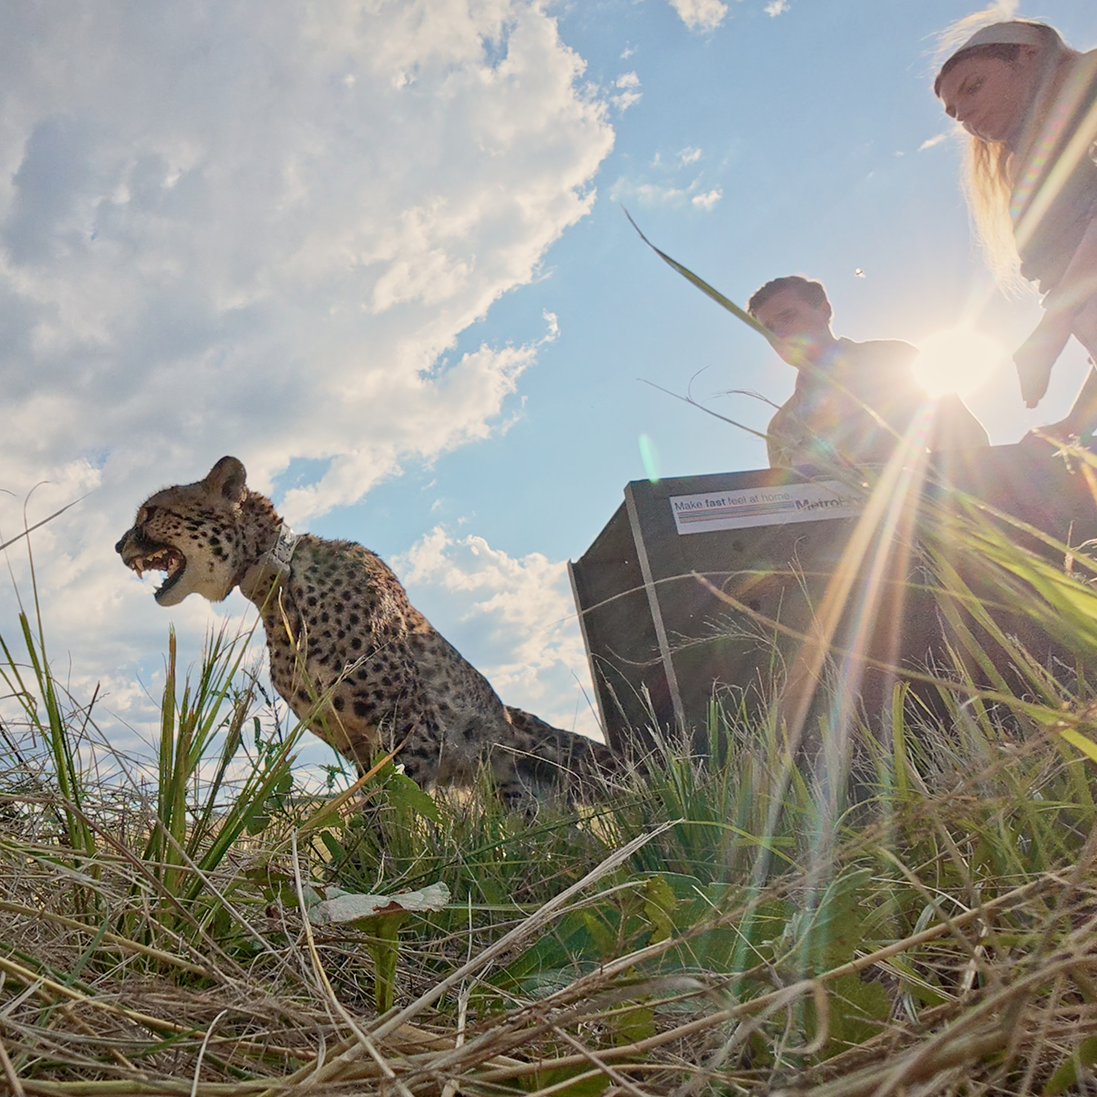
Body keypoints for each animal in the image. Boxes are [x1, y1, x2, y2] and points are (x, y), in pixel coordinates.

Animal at [115, 455, 615, 804]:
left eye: (151, 513)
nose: (118, 544)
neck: (278, 588)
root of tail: (510, 717)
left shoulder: (410, 737)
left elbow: (389, 817)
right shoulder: (357, 748)